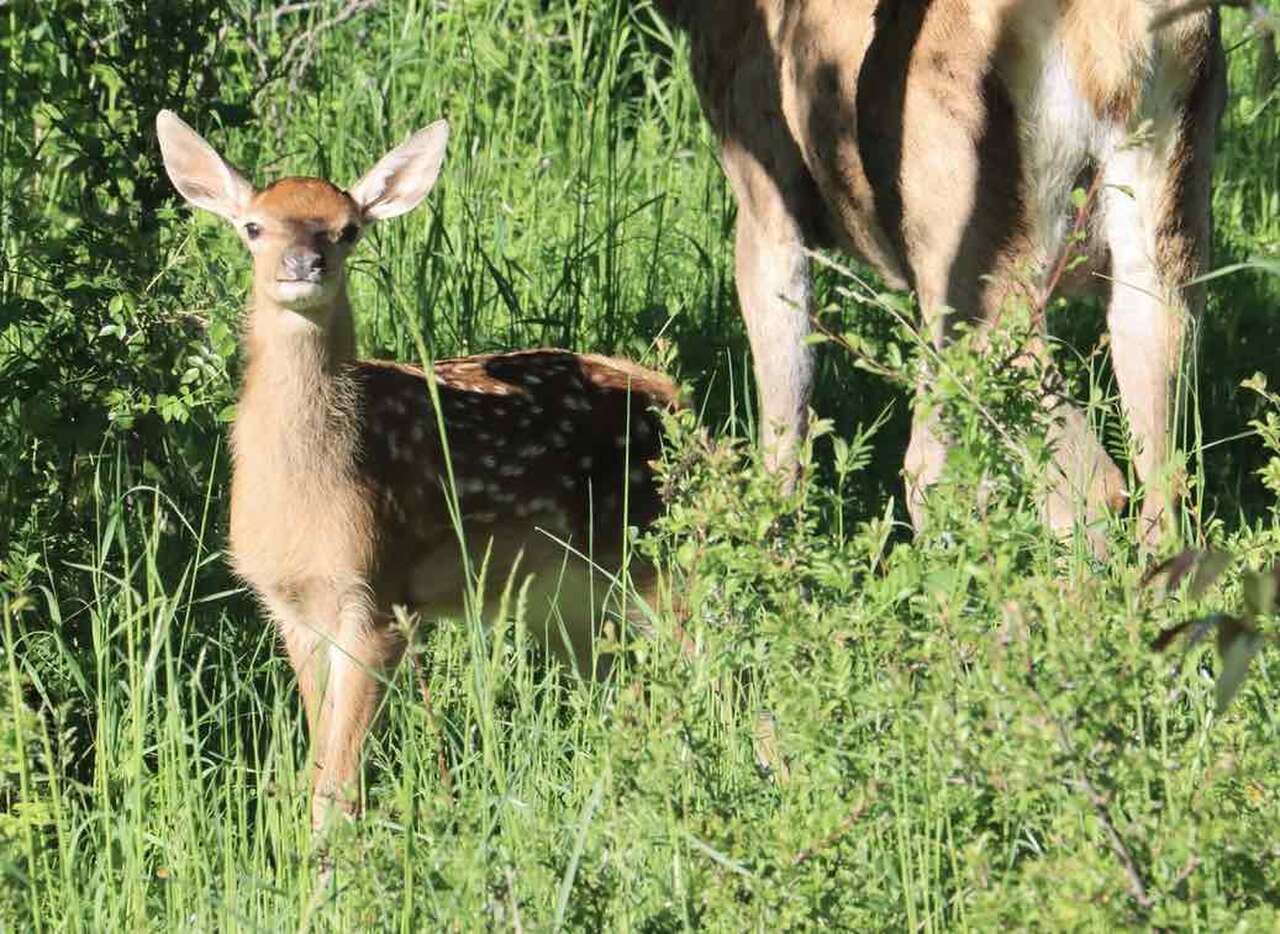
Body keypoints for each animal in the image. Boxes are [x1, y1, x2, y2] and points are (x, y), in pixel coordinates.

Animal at [157, 110, 680, 829]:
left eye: (347, 228)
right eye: (254, 226)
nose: (304, 263)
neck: (307, 490)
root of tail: (677, 399)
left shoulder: (379, 594)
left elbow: (339, 785)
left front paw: (331, 862)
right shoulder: (291, 606)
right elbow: (317, 763)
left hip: (656, 553)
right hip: (568, 598)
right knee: (626, 690)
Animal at [660, 0, 1228, 545]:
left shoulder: (766, 199)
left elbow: (785, 410)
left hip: (978, 256)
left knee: (1082, 484)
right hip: (1164, 238)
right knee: (1165, 475)